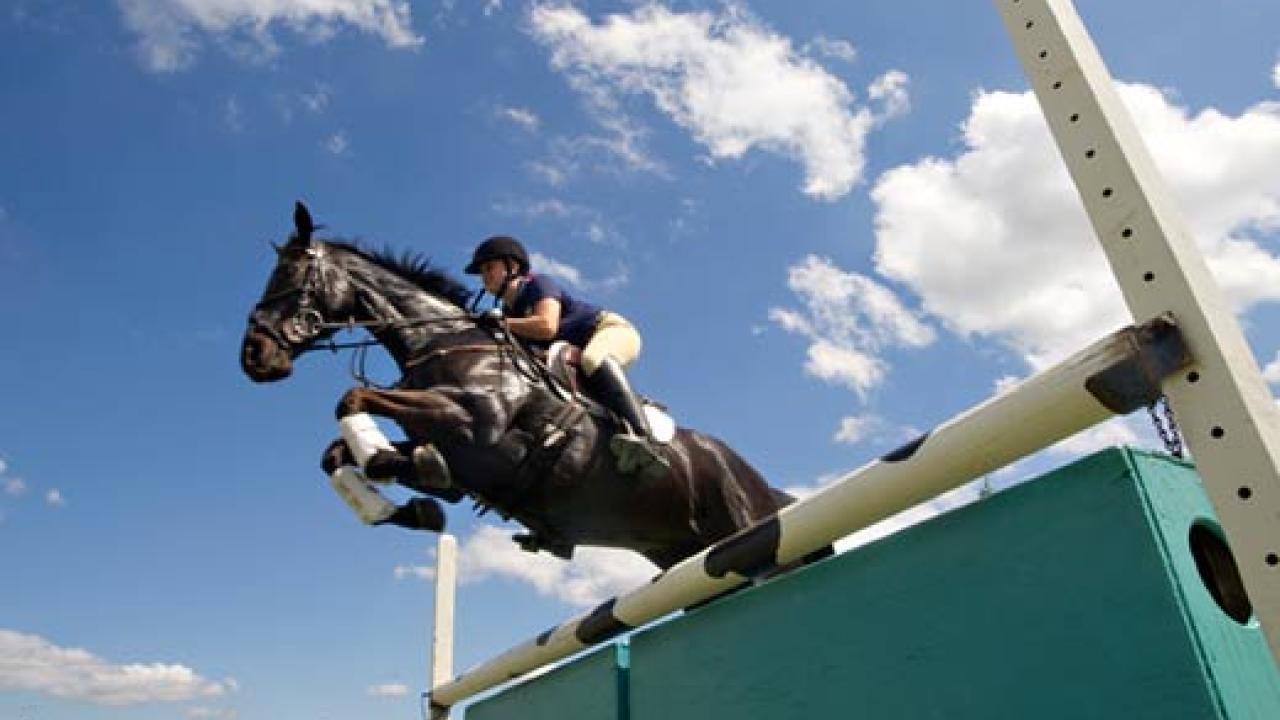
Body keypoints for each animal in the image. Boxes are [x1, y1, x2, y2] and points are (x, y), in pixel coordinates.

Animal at [240, 203, 801, 570]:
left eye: (291, 277)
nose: (253, 357)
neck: (442, 342)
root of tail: (763, 486)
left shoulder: (477, 431)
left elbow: (352, 403)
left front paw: (385, 467)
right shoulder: (457, 458)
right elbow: (338, 454)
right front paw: (409, 510)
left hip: (742, 527)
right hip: (682, 552)